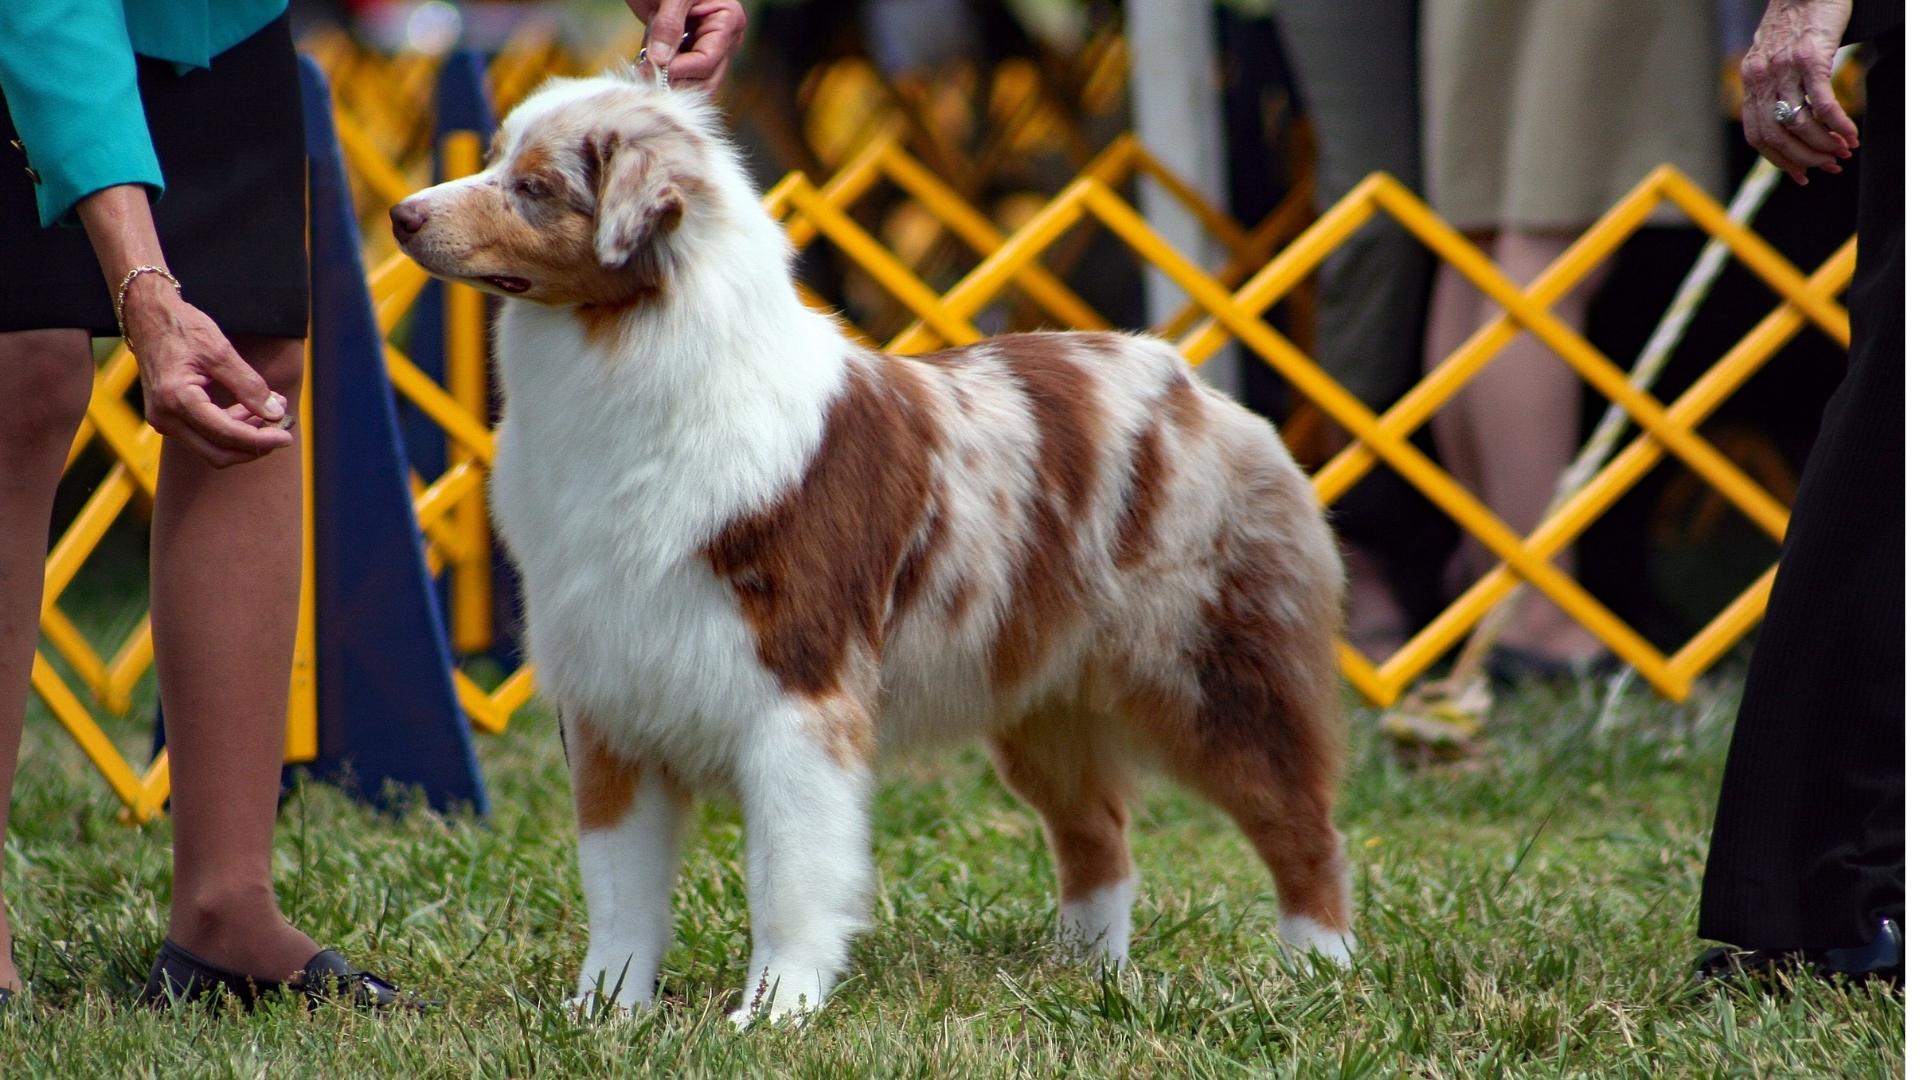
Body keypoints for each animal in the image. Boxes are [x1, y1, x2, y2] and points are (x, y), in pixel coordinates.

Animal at [389, 71, 1351, 1022]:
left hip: (1218, 677)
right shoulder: (611, 699)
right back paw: (1082, 978)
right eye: (495, 159)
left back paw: (1317, 971)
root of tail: (1193, 384)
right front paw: (603, 1014)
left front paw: (773, 1012)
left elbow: (788, 878)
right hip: (1040, 703)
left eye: (535, 187)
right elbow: (619, 891)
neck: (629, 360)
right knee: (1099, 838)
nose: (401, 215)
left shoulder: (797, 694)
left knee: (1303, 825)